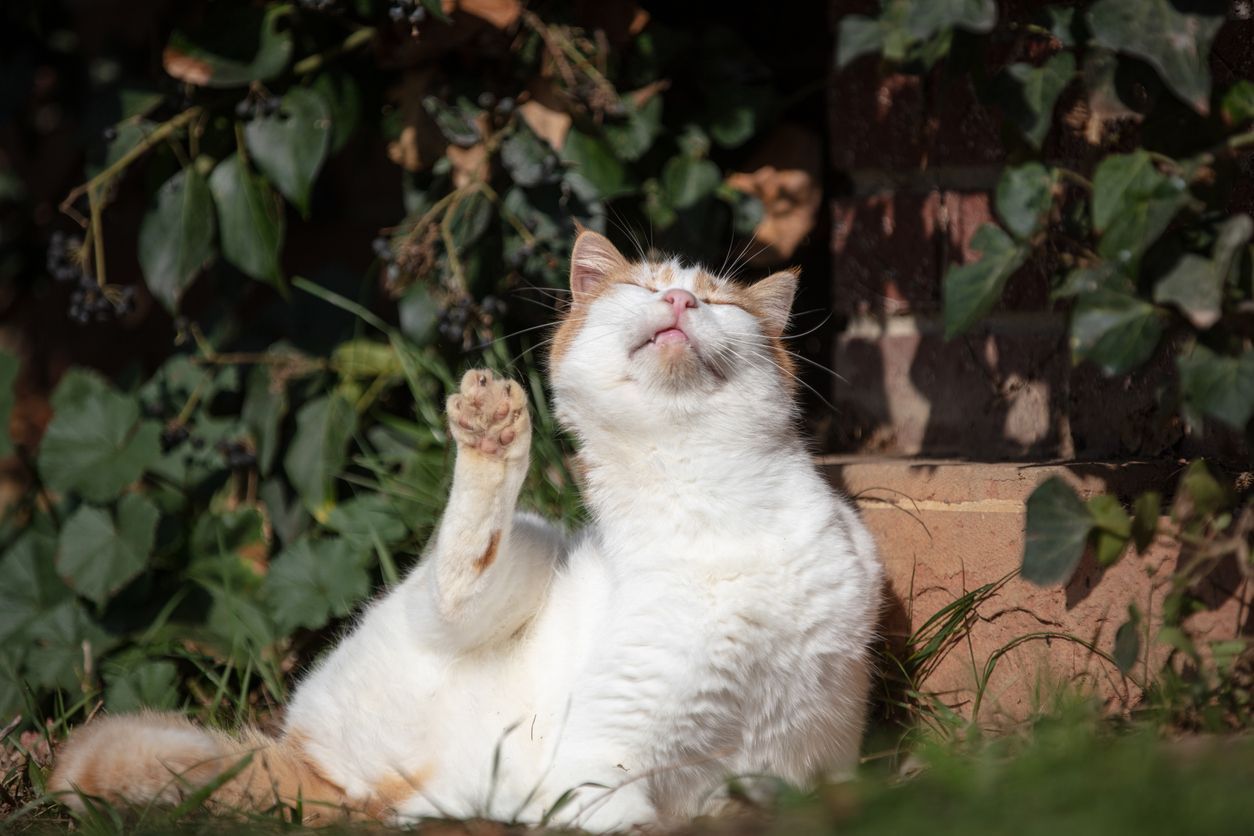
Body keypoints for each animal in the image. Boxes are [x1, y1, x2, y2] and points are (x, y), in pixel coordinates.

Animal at [48, 229, 887, 832]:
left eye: (718, 303)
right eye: (643, 287)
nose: (680, 299)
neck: (710, 500)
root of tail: (317, 767)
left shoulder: (820, 760)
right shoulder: (601, 766)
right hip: (520, 548)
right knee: (459, 566)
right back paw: (492, 430)